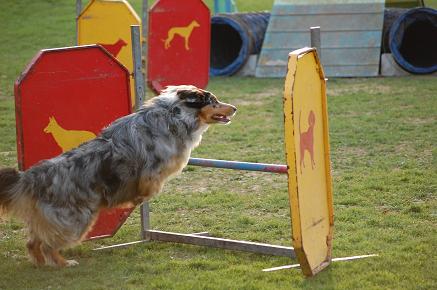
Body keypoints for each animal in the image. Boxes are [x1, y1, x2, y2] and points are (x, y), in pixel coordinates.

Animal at [0, 85, 235, 268]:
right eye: (213, 101)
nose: (235, 108)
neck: (173, 114)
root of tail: (31, 177)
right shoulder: (153, 168)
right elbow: (151, 186)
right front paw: (136, 199)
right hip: (76, 220)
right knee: (49, 244)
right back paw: (64, 263)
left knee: (33, 242)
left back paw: (40, 264)